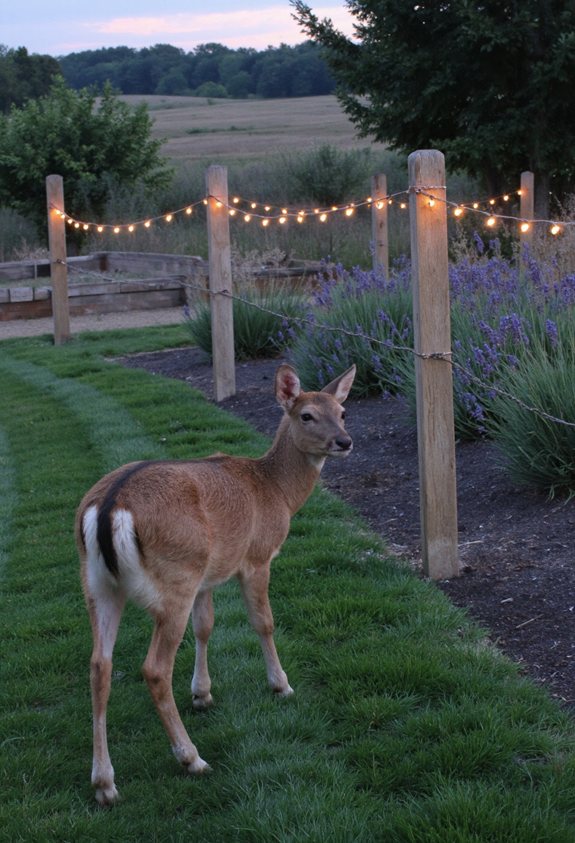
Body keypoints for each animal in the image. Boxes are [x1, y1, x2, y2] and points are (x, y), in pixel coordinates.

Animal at [75, 362, 356, 806]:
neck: (276, 492)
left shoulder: (207, 575)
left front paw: (202, 693)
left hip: (99, 584)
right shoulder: (256, 558)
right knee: (154, 669)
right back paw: (191, 759)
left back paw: (105, 783)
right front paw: (281, 685)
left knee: (99, 665)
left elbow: (205, 627)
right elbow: (263, 623)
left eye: (342, 411)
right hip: (175, 578)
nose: (344, 441)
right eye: (306, 415)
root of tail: (107, 508)